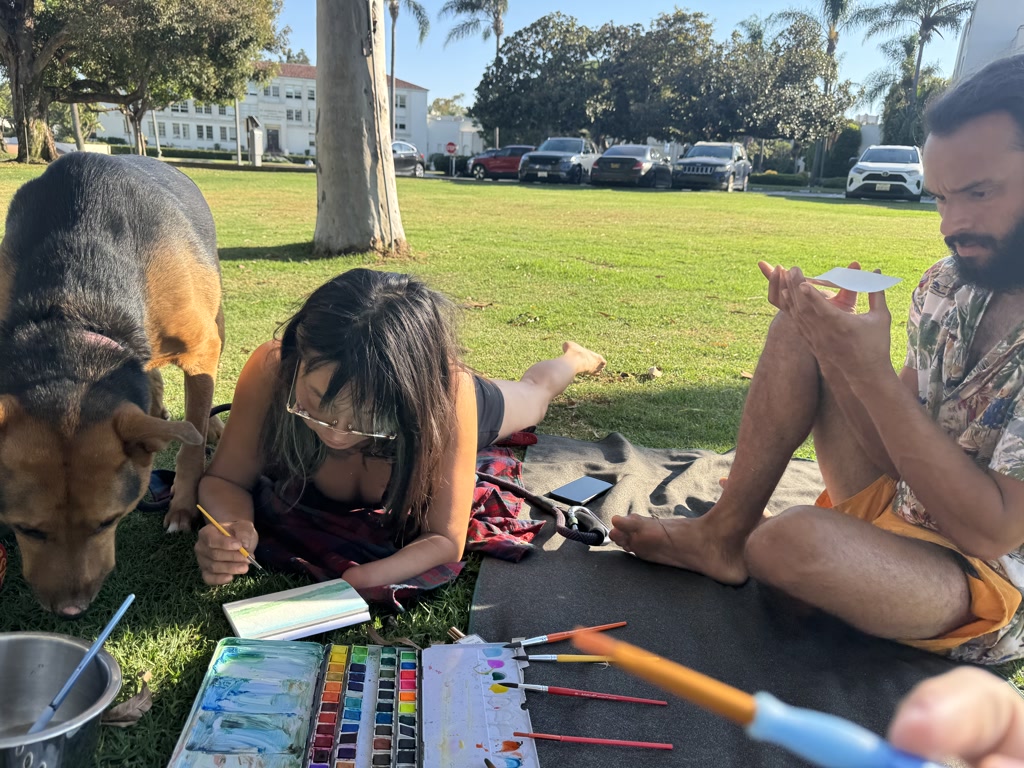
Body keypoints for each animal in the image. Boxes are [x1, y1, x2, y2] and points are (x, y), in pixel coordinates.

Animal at [0, 153, 223, 618]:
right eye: (26, 528)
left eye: (109, 521)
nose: (71, 610)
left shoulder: (201, 349)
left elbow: (192, 444)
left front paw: (182, 505)